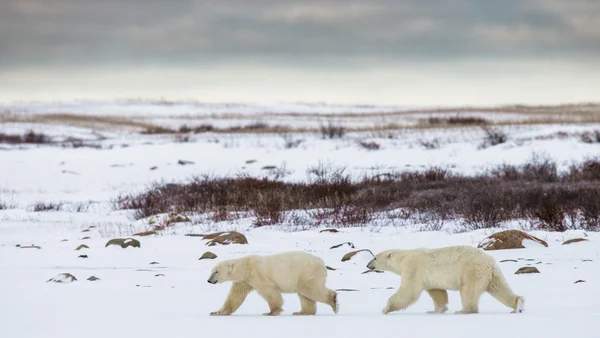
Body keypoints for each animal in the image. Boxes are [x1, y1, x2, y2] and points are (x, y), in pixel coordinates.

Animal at [206, 250, 338, 316]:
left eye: (216, 271)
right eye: (211, 271)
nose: (209, 280)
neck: (245, 267)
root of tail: (320, 261)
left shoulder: (257, 273)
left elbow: (269, 290)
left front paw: (271, 312)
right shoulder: (243, 281)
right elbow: (235, 296)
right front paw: (217, 312)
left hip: (306, 272)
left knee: (311, 290)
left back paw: (334, 302)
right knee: (305, 295)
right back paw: (302, 312)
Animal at [364, 246, 524, 314]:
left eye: (375, 257)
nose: (367, 265)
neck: (404, 258)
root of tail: (490, 262)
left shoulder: (414, 268)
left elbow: (409, 291)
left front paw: (385, 309)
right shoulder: (428, 277)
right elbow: (437, 292)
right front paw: (435, 311)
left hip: (472, 270)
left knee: (468, 290)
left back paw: (463, 310)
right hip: (491, 274)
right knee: (499, 288)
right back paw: (518, 305)